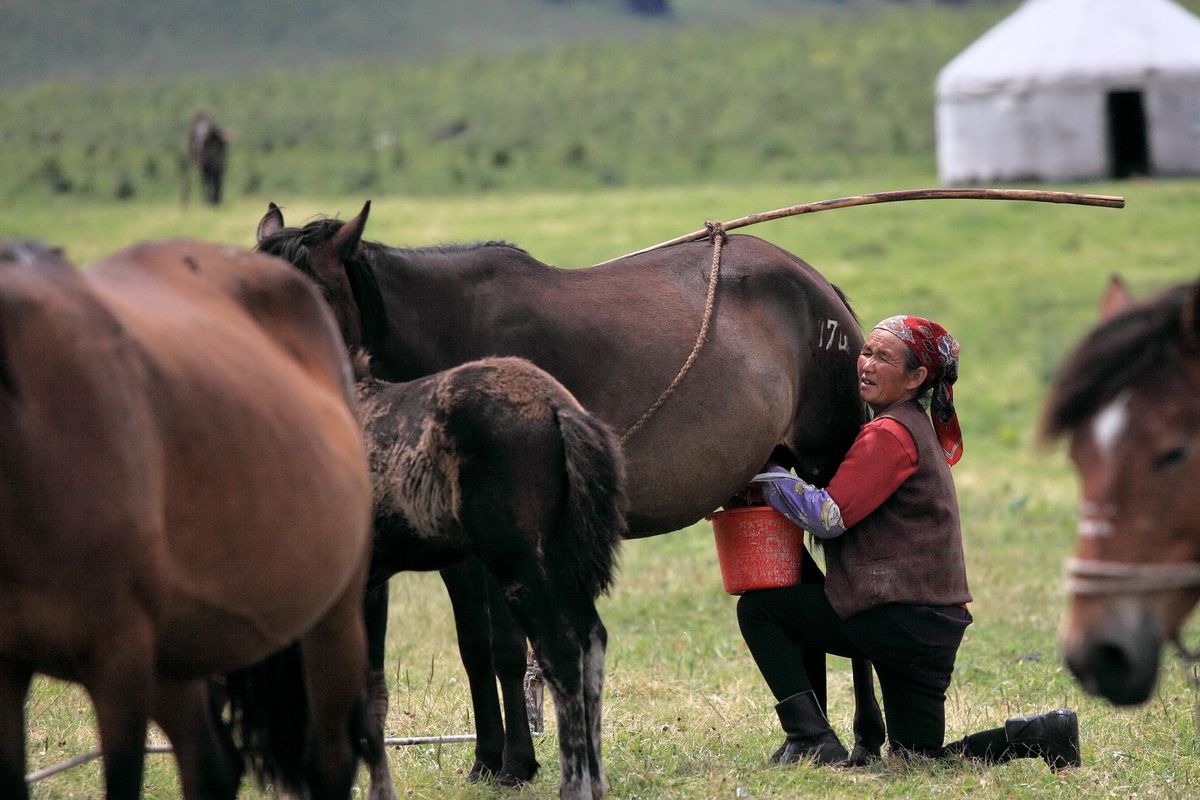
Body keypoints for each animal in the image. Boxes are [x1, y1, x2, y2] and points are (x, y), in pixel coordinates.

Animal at [253, 203, 888, 791]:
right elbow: (475, 648)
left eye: (310, 299)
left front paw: (515, 763)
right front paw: (487, 759)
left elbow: (510, 648)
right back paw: (810, 741)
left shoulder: (506, 547)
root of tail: (816, 285)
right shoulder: (458, 550)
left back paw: (865, 739)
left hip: (827, 465)